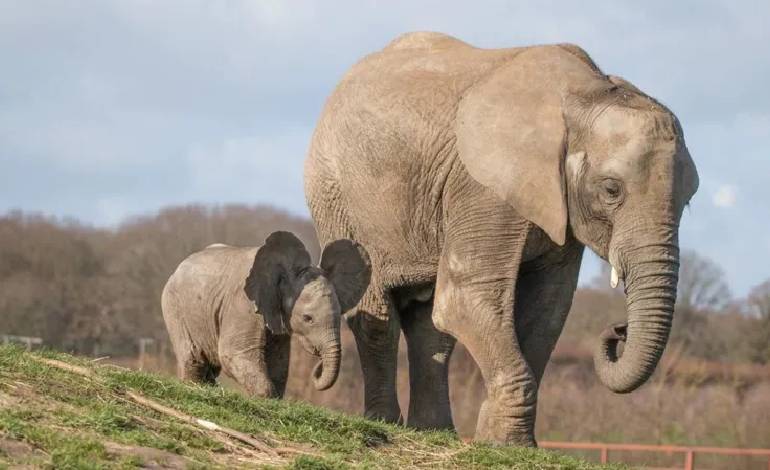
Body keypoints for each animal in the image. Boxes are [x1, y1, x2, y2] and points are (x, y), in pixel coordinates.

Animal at [161, 231, 371, 397]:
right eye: (307, 318)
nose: (317, 367)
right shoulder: (242, 305)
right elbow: (234, 353)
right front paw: (264, 397)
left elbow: (279, 362)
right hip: (173, 306)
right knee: (193, 357)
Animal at [304, 32, 699, 445]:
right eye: (611, 190)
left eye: (688, 199)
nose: (619, 330)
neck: (585, 94)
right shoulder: (483, 186)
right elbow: (465, 298)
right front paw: (505, 443)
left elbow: (547, 309)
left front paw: (503, 442)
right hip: (335, 195)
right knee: (377, 316)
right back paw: (385, 422)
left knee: (430, 327)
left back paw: (435, 431)